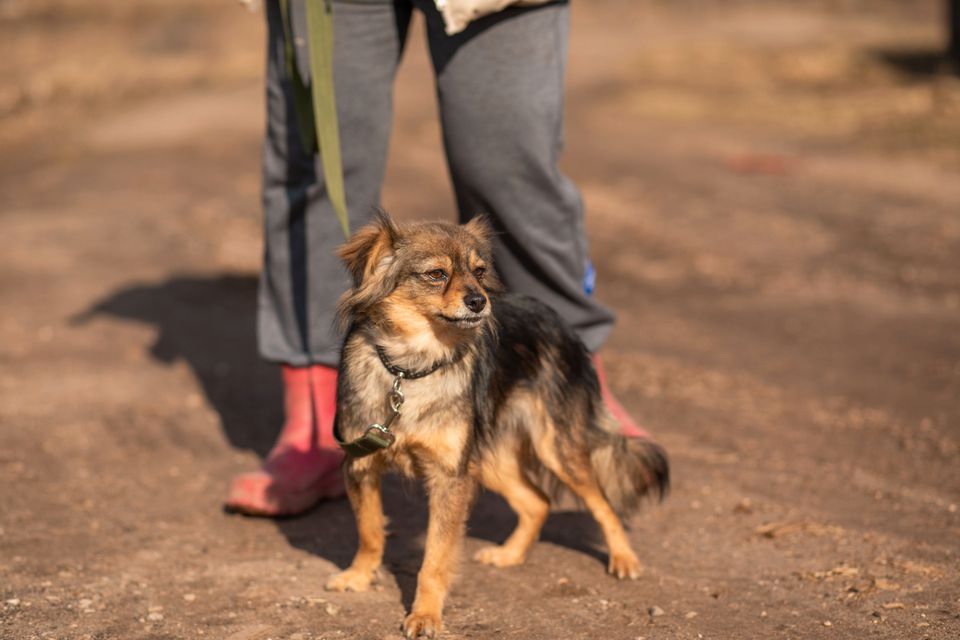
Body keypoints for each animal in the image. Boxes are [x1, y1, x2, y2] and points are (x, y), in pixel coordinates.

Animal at [326, 212, 664, 636]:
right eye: (436, 274)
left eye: (479, 271)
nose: (479, 301)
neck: (411, 368)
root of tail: (562, 322)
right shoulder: (361, 463)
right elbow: (370, 530)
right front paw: (359, 576)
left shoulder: (450, 477)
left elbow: (435, 557)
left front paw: (425, 614)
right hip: (491, 459)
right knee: (538, 501)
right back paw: (510, 554)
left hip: (556, 448)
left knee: (602, 503)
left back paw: (623, 558)